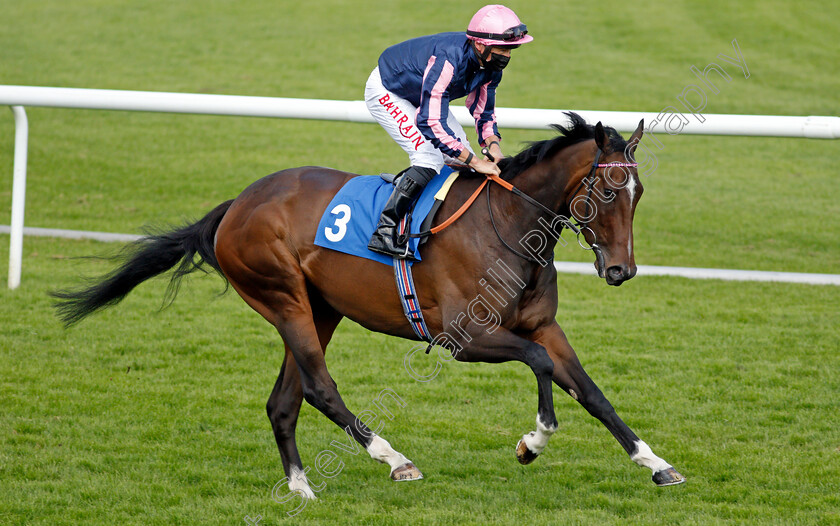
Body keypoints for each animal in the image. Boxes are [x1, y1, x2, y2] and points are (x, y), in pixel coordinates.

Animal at [50, 113, 684, 502]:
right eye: (608, 190)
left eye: (639, 194)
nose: (621, 270)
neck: (507, 226)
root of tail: (237, 204)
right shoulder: (463, 338)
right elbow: (541, 364)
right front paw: (534, 440)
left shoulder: (543, 325)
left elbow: (591, 391)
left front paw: (655, 464)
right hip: (282, 297)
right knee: (318, 387)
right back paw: (392, 457)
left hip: (319, 308)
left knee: (285, 399)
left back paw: (301, 486)